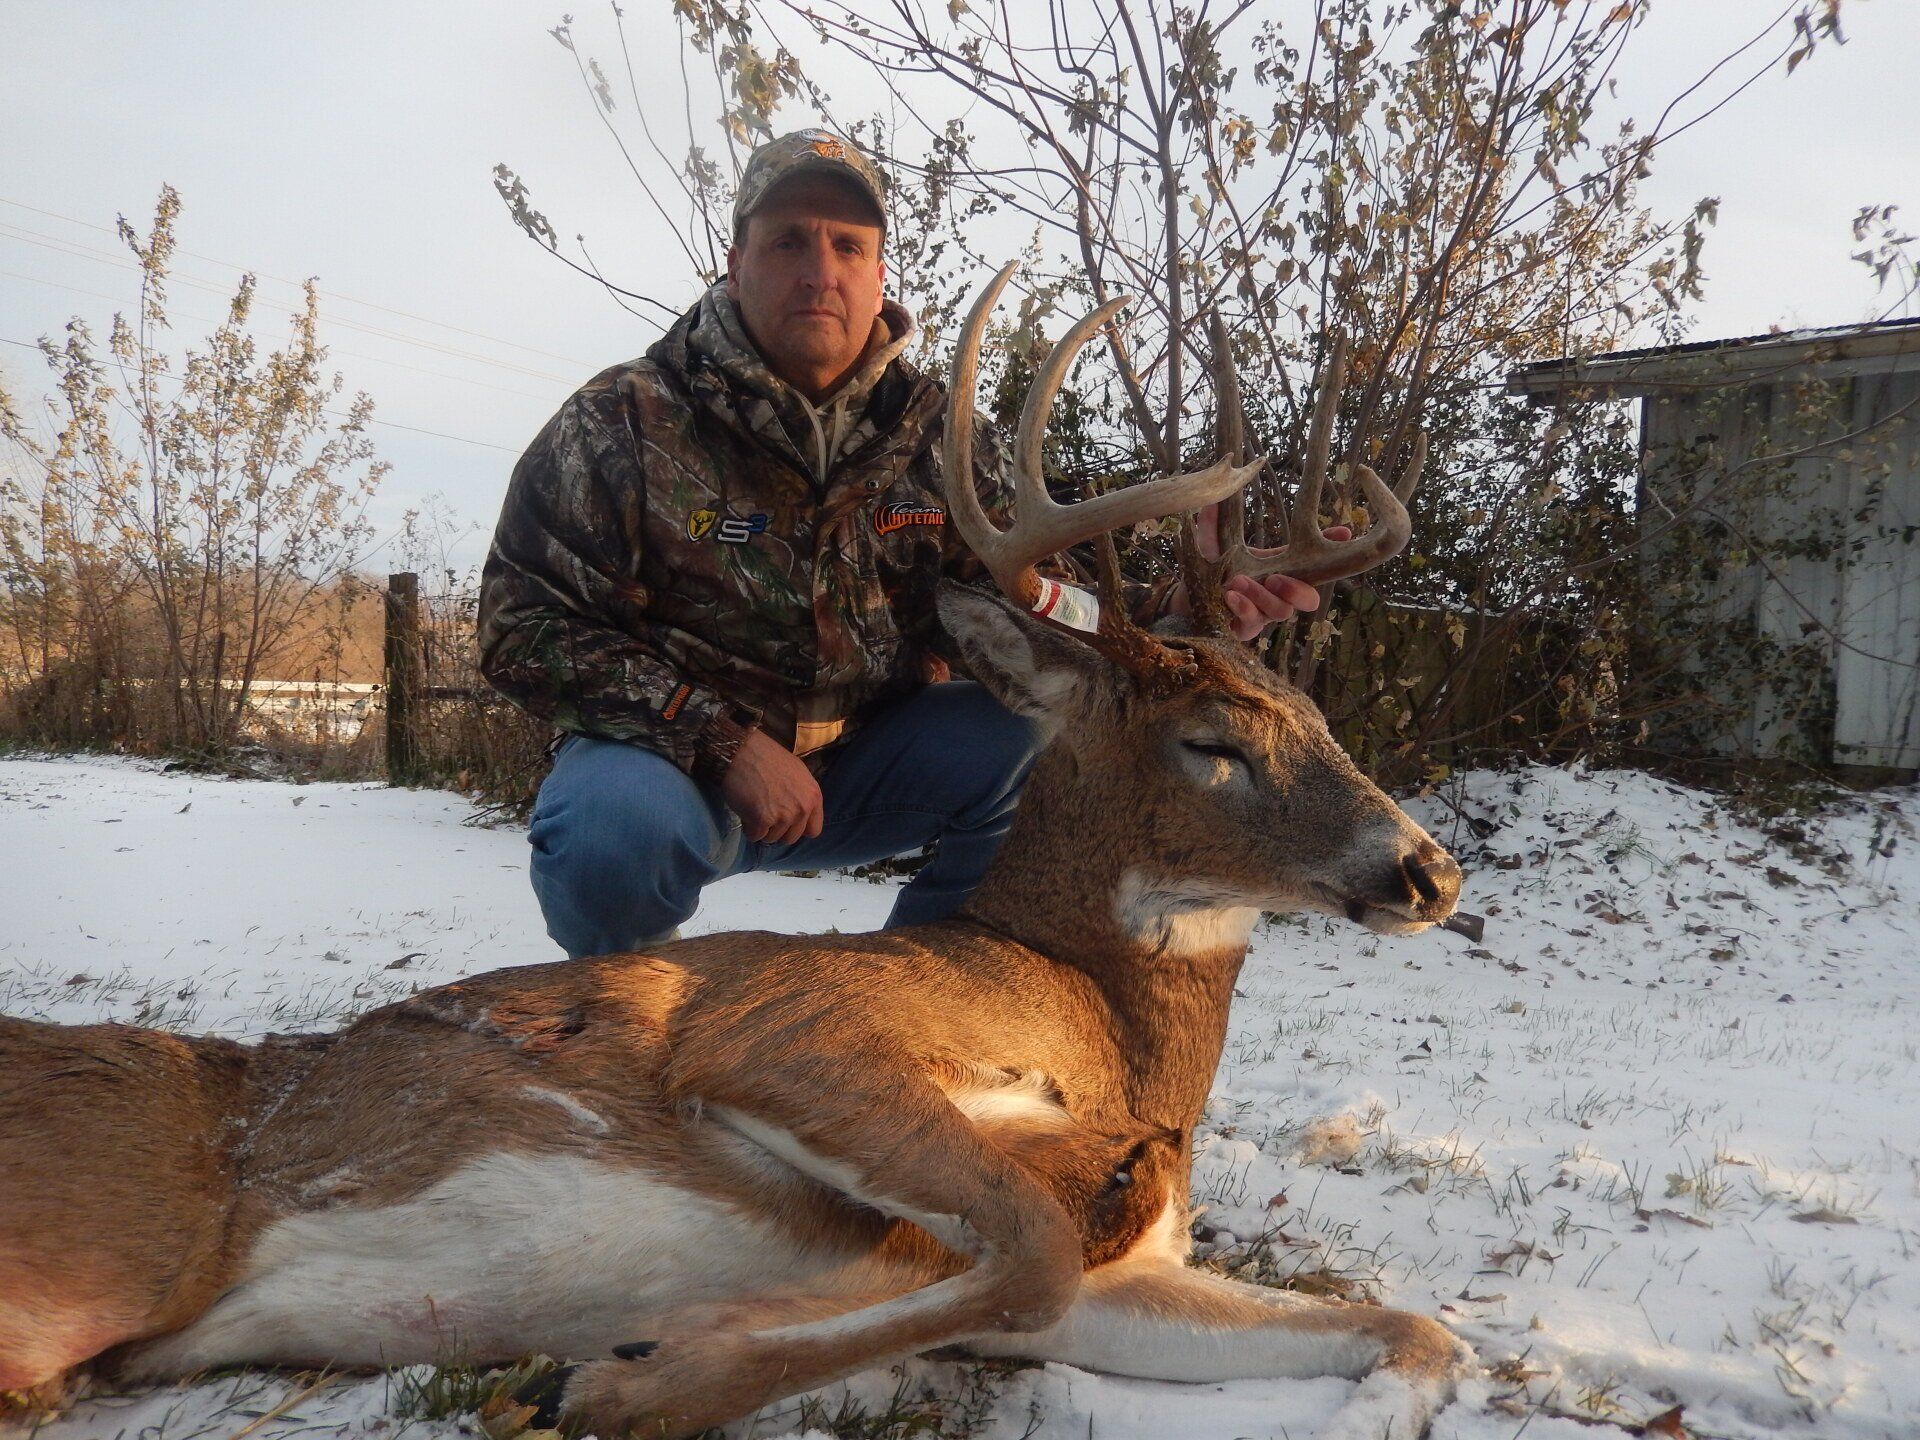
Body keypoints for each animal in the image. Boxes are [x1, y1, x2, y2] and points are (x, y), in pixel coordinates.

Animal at [0, 261, 1470, 1440]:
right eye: (1213, 742)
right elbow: (1033, 1243)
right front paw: (620, 1376)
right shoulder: (786, 1033)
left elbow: (1414, 1329)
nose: (1427, 872)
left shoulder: (1125, 1269)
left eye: (1320, 718)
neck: (1103, 1027)